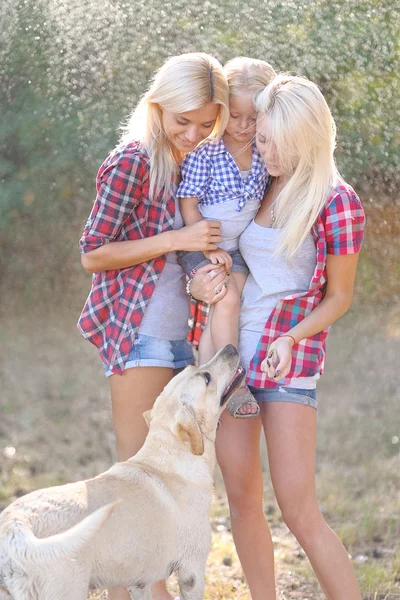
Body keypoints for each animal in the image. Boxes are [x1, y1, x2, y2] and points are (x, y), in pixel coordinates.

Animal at [0, 344, 244, 596]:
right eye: (206, 378)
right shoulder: (192, 571)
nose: (230, 347)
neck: (170, 453)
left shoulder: (139, 582)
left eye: (194, 367)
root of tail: (14, 527)